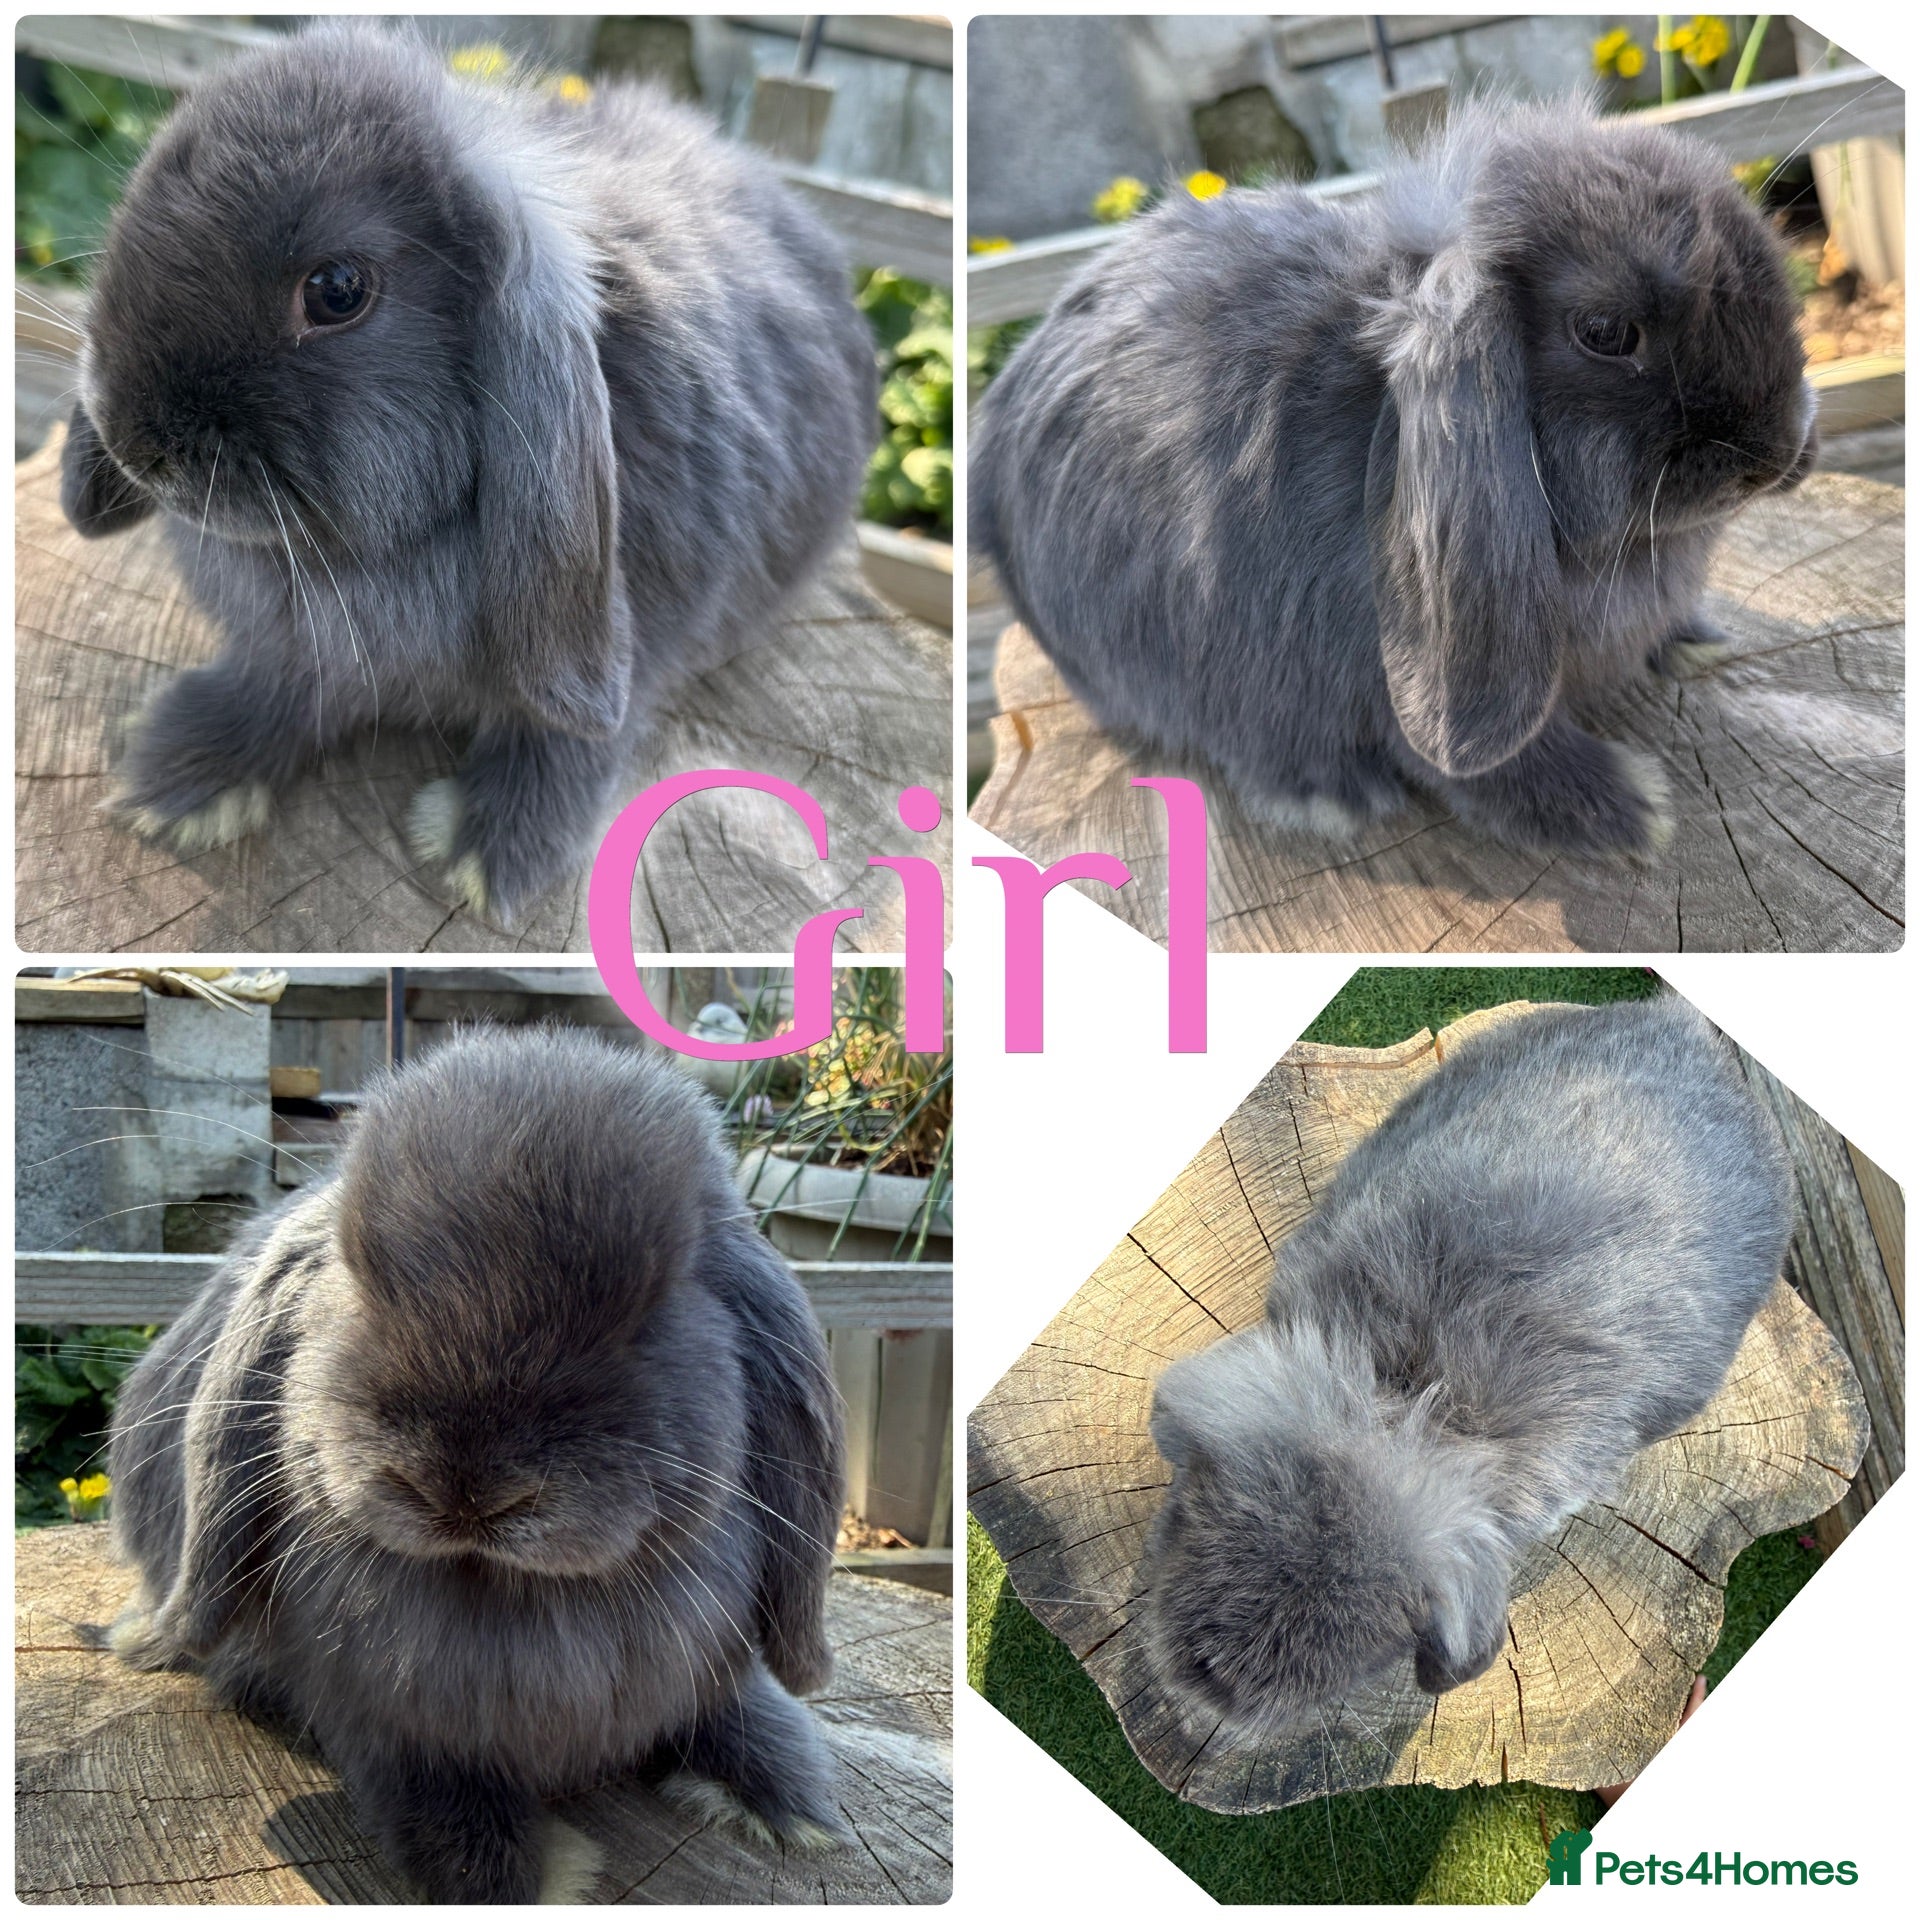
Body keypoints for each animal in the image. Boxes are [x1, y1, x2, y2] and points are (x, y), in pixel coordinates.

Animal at [59, 23, 876, 923]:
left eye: (337, 290)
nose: (134, 442)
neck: (355, 558)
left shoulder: (636, 649)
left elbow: (567, 740)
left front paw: (484, 853)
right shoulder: (296, 652)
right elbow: (278, 688)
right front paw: (176, 777)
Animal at [105, 1026, 850, 1902]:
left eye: (657, 1301)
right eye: (356, 1272)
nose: (464, 1490)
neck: (514, 1594)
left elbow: (734, 1712)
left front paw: (790, 1802)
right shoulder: (383, 1725)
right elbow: (439, 1804)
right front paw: (529, 1879)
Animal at [972, 96, 1817, 860]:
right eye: (1605, 333)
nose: (1775, 455)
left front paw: (1694, 641)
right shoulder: (1398, 678)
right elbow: (1483, 764)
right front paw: (1634, 814)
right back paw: (1327, 796)